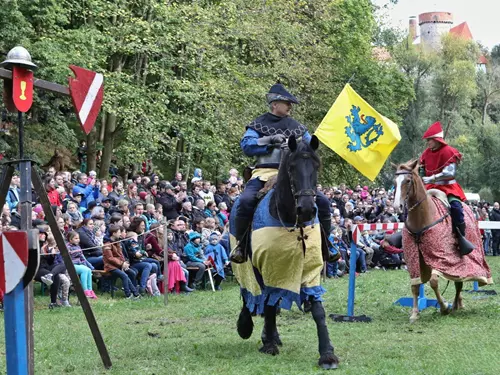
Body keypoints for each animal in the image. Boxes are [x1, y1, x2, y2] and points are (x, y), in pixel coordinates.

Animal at [230, 135, 340, 370]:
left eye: (316, 166)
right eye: (291, 167)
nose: (306, 209)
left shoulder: (310, 269)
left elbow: (317, 309)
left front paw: (327, 354)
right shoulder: (263, 268)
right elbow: (267, 303)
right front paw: (269, 344)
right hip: (245, 265)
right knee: (249, 292)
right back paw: (248, 326)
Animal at [392, 160, 490, 324]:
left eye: (408, 181)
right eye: (395, 182)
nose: (396, 207)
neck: (422, 218)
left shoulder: (439, 257)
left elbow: (433, 282)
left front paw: (444, 307)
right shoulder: (413, 258)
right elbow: (415, 285)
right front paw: (415, 313)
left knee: (459, 282)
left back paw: (455, 305)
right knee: (458, 282)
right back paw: (458, 303)